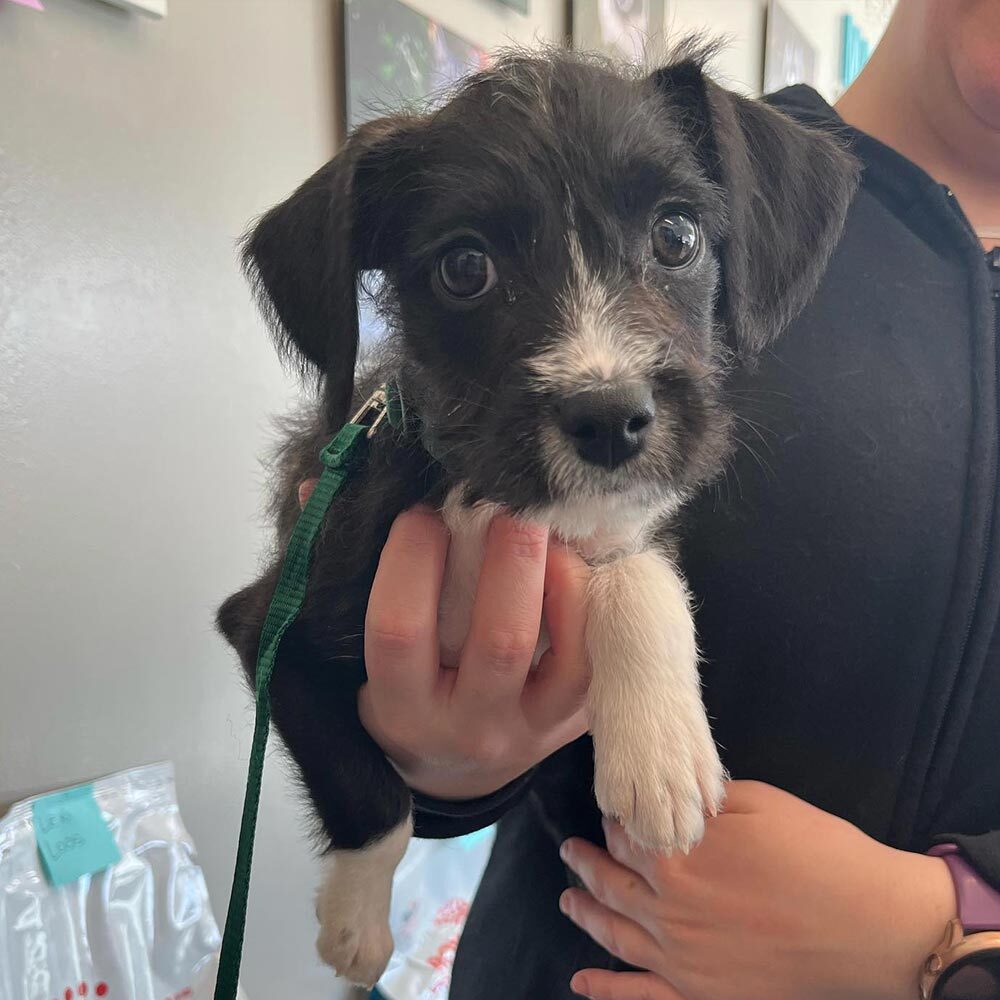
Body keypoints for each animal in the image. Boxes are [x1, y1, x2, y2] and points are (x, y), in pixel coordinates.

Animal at [221, 47, 860, 984]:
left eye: (676, 237)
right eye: (464, 267)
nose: (609, 419)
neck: (488, 502)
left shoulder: (623, 524)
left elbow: (635, 568)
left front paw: (660, 749)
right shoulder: (271, 632)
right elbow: (375, 796)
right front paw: (357, 924)